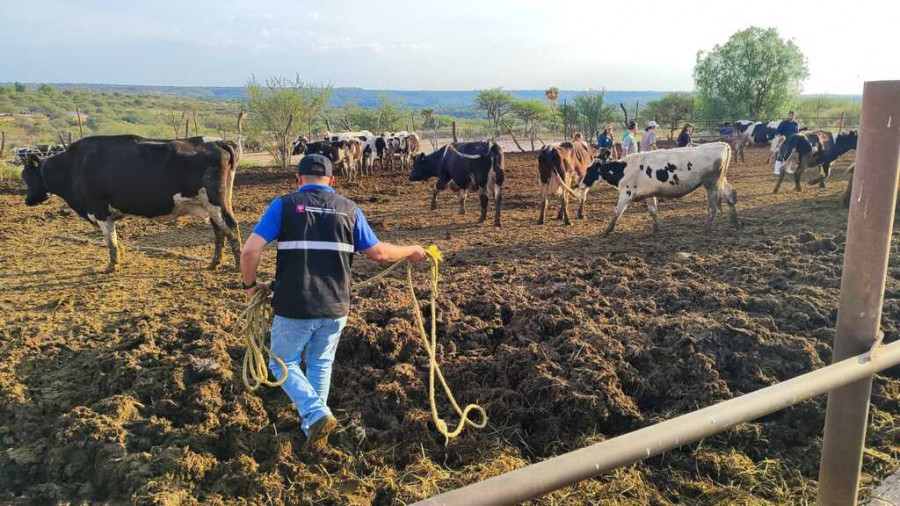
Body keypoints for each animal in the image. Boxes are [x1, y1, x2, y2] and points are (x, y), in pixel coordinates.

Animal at [22, 135, 243, 272]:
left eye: (25, 176)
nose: (27, 200)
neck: (74, 165)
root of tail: (218, 142)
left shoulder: (99, 210)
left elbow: (110, 240)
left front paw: (111, 267)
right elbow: (115, 240)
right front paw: (118, 261)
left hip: (216, 203)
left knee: (231, 228)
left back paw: (239, 266)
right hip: (212, 205)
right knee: (219, 231)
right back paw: (214, 264)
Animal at [580, 141, 736, 236]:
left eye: (589, 169)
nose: (581, 183)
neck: (623, 169)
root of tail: (720, 144)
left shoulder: (626, 193)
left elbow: (617, 211)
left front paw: (608, 229)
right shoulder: (648, 194)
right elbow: (653, 211)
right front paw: (657, 228)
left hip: (712, 184)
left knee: (713, 206)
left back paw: (707, 227)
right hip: (721, 182)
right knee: (730, 195)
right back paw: (736, 222)